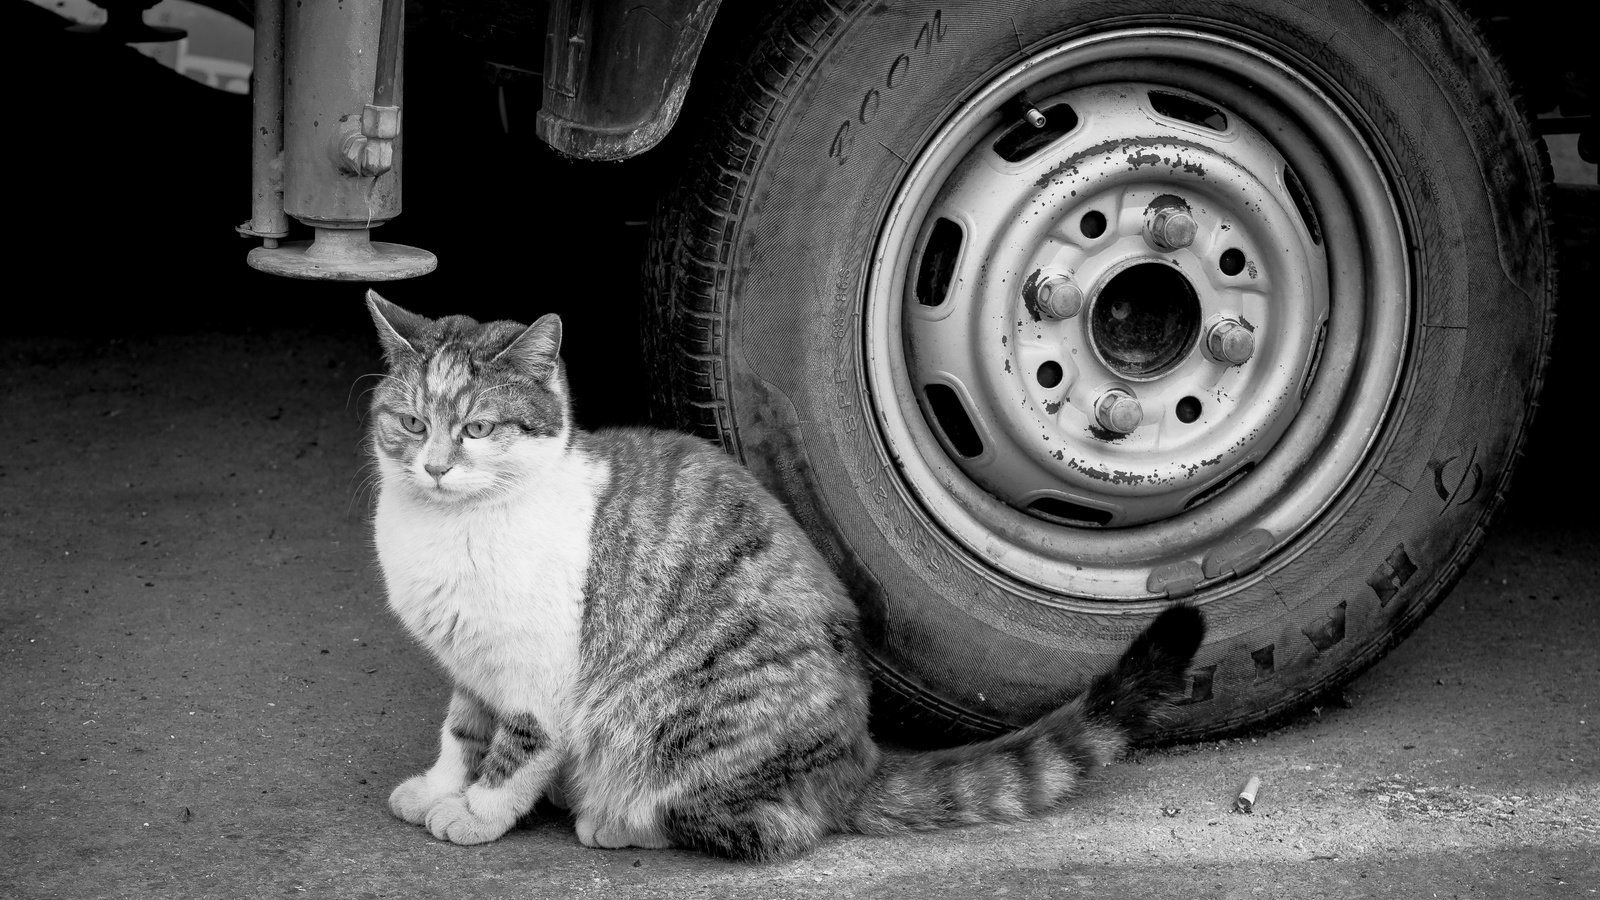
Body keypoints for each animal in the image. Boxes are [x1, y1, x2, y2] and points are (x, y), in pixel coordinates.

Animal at [363, 291, 1203, 858]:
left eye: (478, 428)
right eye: (412, 423)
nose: (434, 467)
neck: (449, 531)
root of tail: (859, 758)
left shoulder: (536, 674)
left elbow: (516, 748)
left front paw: (477, 812)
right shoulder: (471, 663)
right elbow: (461, 731)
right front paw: (440, 788)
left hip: (685, 723)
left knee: (771, 828)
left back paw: (616, 819)